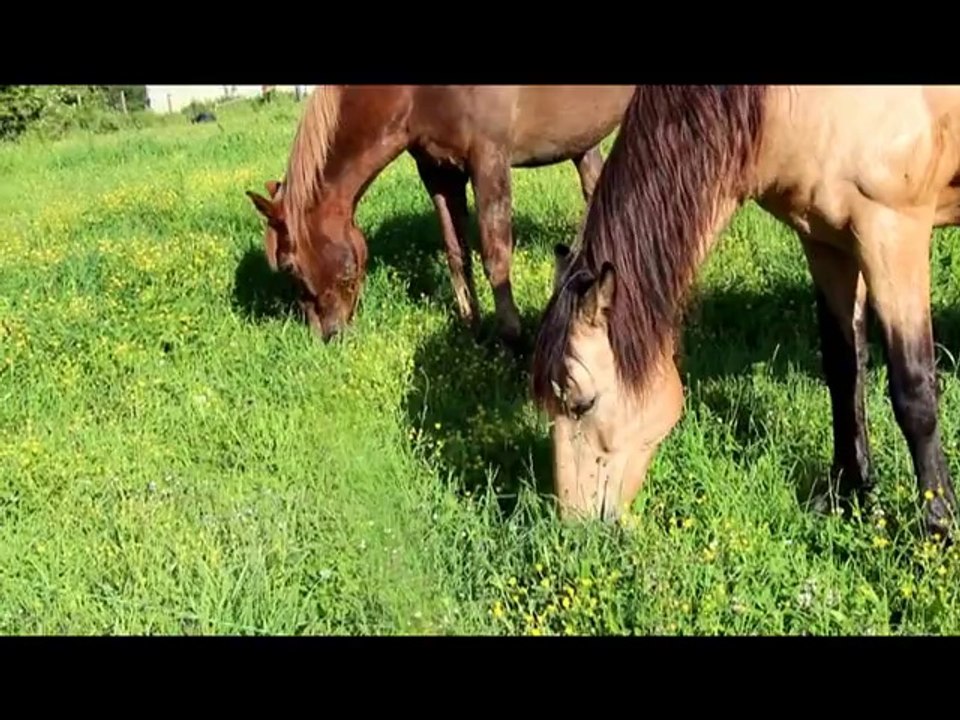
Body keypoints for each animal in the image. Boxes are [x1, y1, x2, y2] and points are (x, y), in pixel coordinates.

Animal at [245, 85, 636, 345]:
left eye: (290, 267)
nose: (327, 335)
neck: (417, 93)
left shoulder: (489, 160)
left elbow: (495, 256)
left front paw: (512, 340)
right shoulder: (439, 173)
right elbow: (456, 253)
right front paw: (471, 331)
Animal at [531, 85, 960, 541]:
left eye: (582, 402)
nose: (573, 527)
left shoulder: (892, 232)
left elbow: (914, 390)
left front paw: (939, 523)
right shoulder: (827, 243)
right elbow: (844, 371)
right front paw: (847, 490)